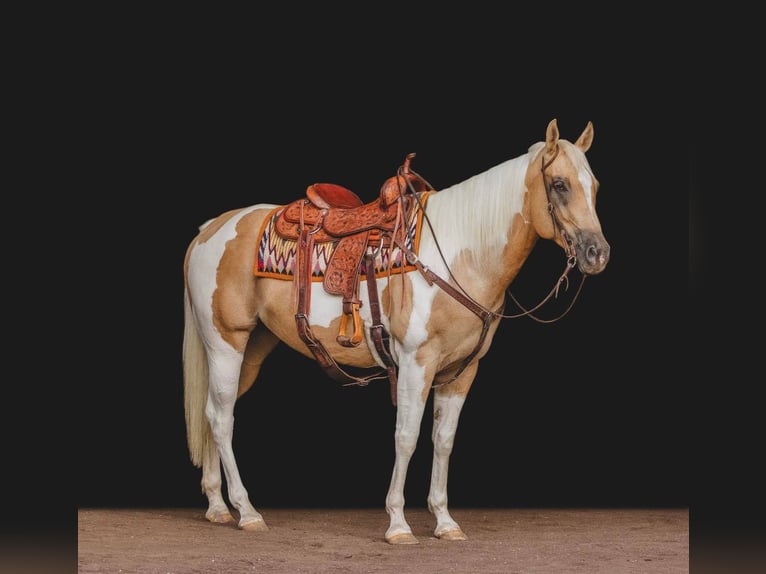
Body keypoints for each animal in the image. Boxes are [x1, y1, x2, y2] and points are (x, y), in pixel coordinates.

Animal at [182, 119, 612, 548]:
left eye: (594, 185)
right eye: (559, 184)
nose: (598, 254)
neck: (459, 252)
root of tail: (209, 229)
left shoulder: (461, 370)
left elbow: (444, 439)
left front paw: (445, 521)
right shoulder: (416, 361)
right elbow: (406, 436)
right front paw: (398, 524)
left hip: (252, 349)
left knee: (211, 413)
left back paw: (218, 507)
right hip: (225, 342)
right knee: (221, 418)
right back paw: (246, 511)